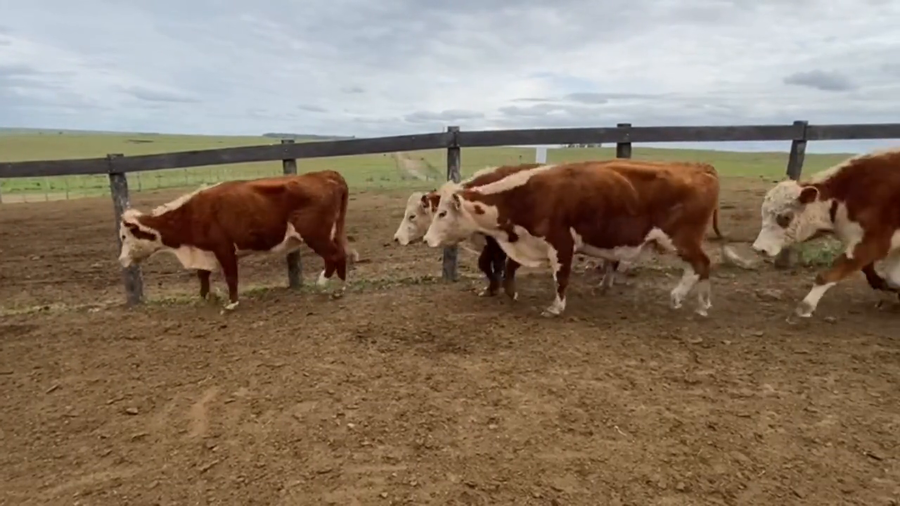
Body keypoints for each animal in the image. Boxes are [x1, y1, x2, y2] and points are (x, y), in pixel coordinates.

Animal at [117, 170, 359, 310]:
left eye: (124, 236)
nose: (121, 260)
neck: (192, 213)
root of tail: (327, 174)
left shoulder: (223, 248)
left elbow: (231, 276)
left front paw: (232, 303)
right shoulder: (204, 251)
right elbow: (203, 275)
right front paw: (205, 297)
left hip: (315, 234)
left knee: (334, 255)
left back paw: (331, 286)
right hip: (330, 233)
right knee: (340, 254)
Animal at [422, 159, 722, 317]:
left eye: (443, 213)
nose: (426, 240)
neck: (526, 195)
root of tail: (699, 168)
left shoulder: (561, 243)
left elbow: (561, 276)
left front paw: (556, 307)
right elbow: (508, 267)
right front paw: (507, 292)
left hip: (682, 239)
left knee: (702, 264)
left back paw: (701, 305)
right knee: (696, 268)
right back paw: (684, 299)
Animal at [751, 148, 900, 318]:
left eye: (786, 217)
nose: (759, 248)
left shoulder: (875, 242)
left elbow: (830, 273)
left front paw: (806, 306)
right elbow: (880, 273)